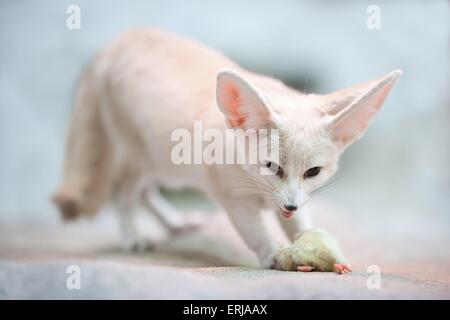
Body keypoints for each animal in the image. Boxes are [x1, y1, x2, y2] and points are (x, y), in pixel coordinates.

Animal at [52, 28, 400, 272]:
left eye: (313, 172)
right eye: (271, 166)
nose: (288, 205)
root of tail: (120, 39)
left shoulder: (294, 200)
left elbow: (303, 226)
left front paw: (318, 248)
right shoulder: (234, 200)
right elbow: (257, 234)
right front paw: (274, 256)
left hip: (163, 164)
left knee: (143, 193)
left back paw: (174, 223)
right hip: (146, 159)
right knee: (123, 196)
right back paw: (133, 237)